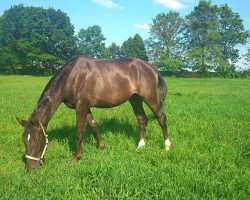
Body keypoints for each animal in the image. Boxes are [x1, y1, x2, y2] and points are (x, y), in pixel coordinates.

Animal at [16, 55, 171, 169]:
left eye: (37, 139)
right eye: (24, 139)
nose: (31, 167)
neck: (72, 76)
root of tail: (151, 68)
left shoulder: (81, 106)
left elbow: (80, 131)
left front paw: (76, 158)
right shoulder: (86, 107)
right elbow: (93, 125)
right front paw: (102, 147)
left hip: (150, 98)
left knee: (161, 117)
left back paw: (167, 146)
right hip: (135, 99)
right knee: (142, 119)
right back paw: (140, 146)